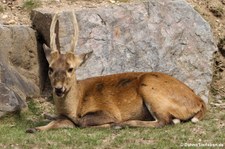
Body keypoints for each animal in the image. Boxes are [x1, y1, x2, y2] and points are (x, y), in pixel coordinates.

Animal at [25, 11, 206, 133]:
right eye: (50, 68)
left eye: (71, 68)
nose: (59, 88)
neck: (76, 103)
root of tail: (198, 101)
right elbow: (55, 122)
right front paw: (35, 127)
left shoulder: (108, 110)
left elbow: (83, 121)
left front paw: (109, 124)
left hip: (150, 88)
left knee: (164, 121)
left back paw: (121, 125)